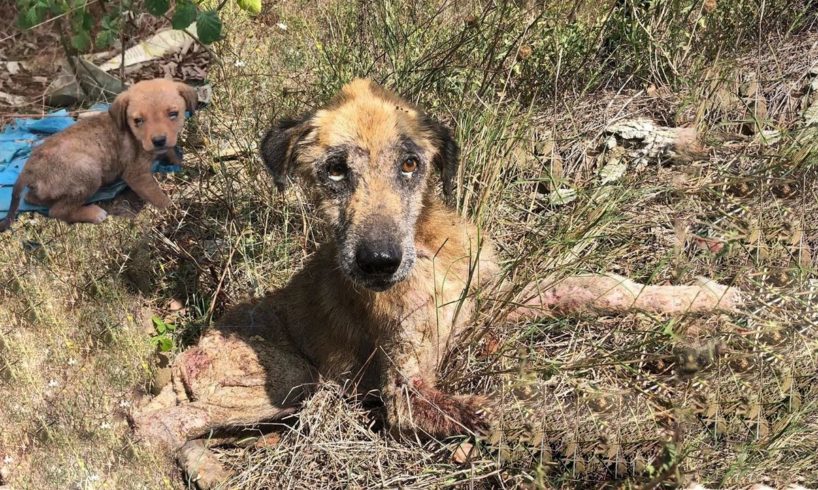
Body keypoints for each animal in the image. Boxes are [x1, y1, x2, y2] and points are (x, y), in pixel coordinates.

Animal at [0, 79, 196, 232]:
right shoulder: (136, 175)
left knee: (32, 198)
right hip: (89, 172)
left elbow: (172, 150)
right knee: (57, 211)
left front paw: (184, 163)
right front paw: (175, 211)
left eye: (173, 114)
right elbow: (158, 197)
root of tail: (29, 170)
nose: (159, 140)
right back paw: (93, 213)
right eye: (138, 121)